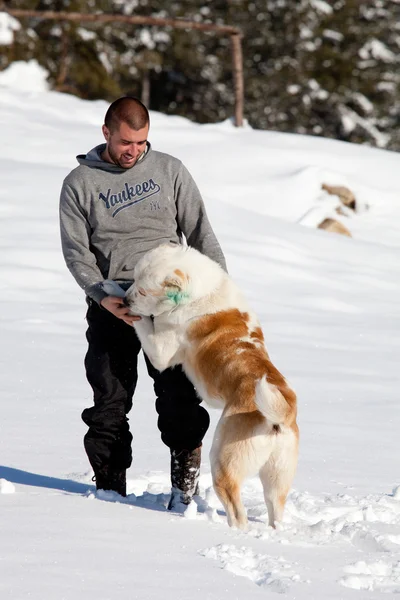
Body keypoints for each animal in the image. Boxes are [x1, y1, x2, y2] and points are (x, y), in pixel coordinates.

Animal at [126, 241, 298, 528]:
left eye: (142, 290)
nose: (126, 301)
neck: (200, 293)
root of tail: (279, 418)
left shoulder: (160, 352)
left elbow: (145, 323)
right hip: (277, 478)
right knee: (275, 510)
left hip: (222, 461)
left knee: (237, 512)